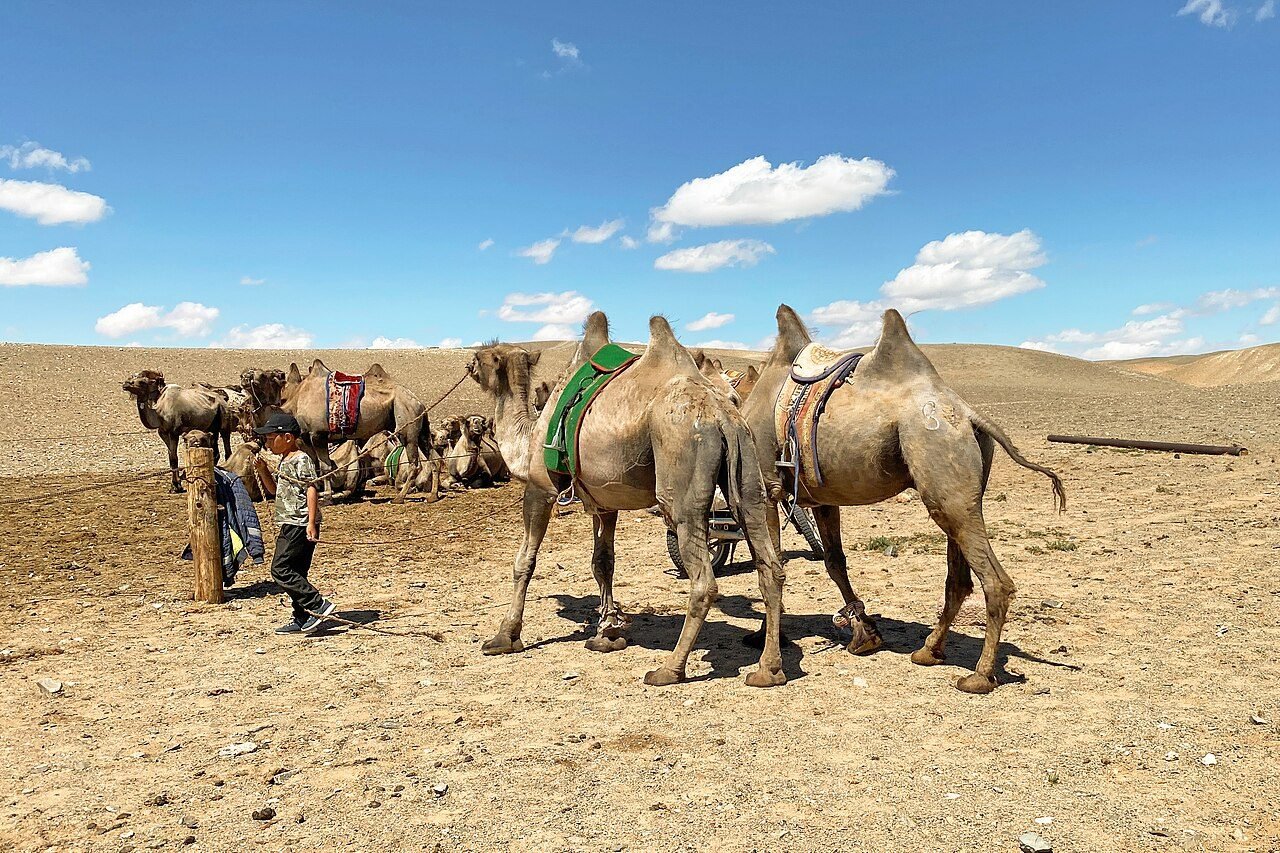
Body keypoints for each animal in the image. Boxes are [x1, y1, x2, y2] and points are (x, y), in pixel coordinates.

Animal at [280, 360, 435, 503]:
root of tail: (419, 402)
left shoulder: (318, 434)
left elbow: (326, 467)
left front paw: (327, 498)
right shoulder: (306, 437)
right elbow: (314, 466)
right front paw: (317, 493)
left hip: (407, 421)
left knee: (414, 462)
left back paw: (399, 498)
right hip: (420, 426)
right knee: (432, 457)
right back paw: (433, 496)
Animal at [467, 312, 787, 688]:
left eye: (484, 355)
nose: (469, 363)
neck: (528, 435)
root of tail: (721, 413)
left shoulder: (539, 489)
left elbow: (524, 563)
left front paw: (505, 637)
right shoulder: (604, 502)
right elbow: (602, 563)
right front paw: (607, 634)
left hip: (680, 475)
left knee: (703, 579)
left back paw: (669, 669)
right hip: (749, 474)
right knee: (770, 565)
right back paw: (768, 670)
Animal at [739, 305, 1066, 694]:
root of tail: (967, 413)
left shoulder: (765, 489)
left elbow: (769, 568)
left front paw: (766, 662)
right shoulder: (822, 498)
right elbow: (834, 562)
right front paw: (865, 635)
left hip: (940, 470)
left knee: (994, 581)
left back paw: (979, 676)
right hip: (960, 492)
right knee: (959, 578)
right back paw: (929, 651)